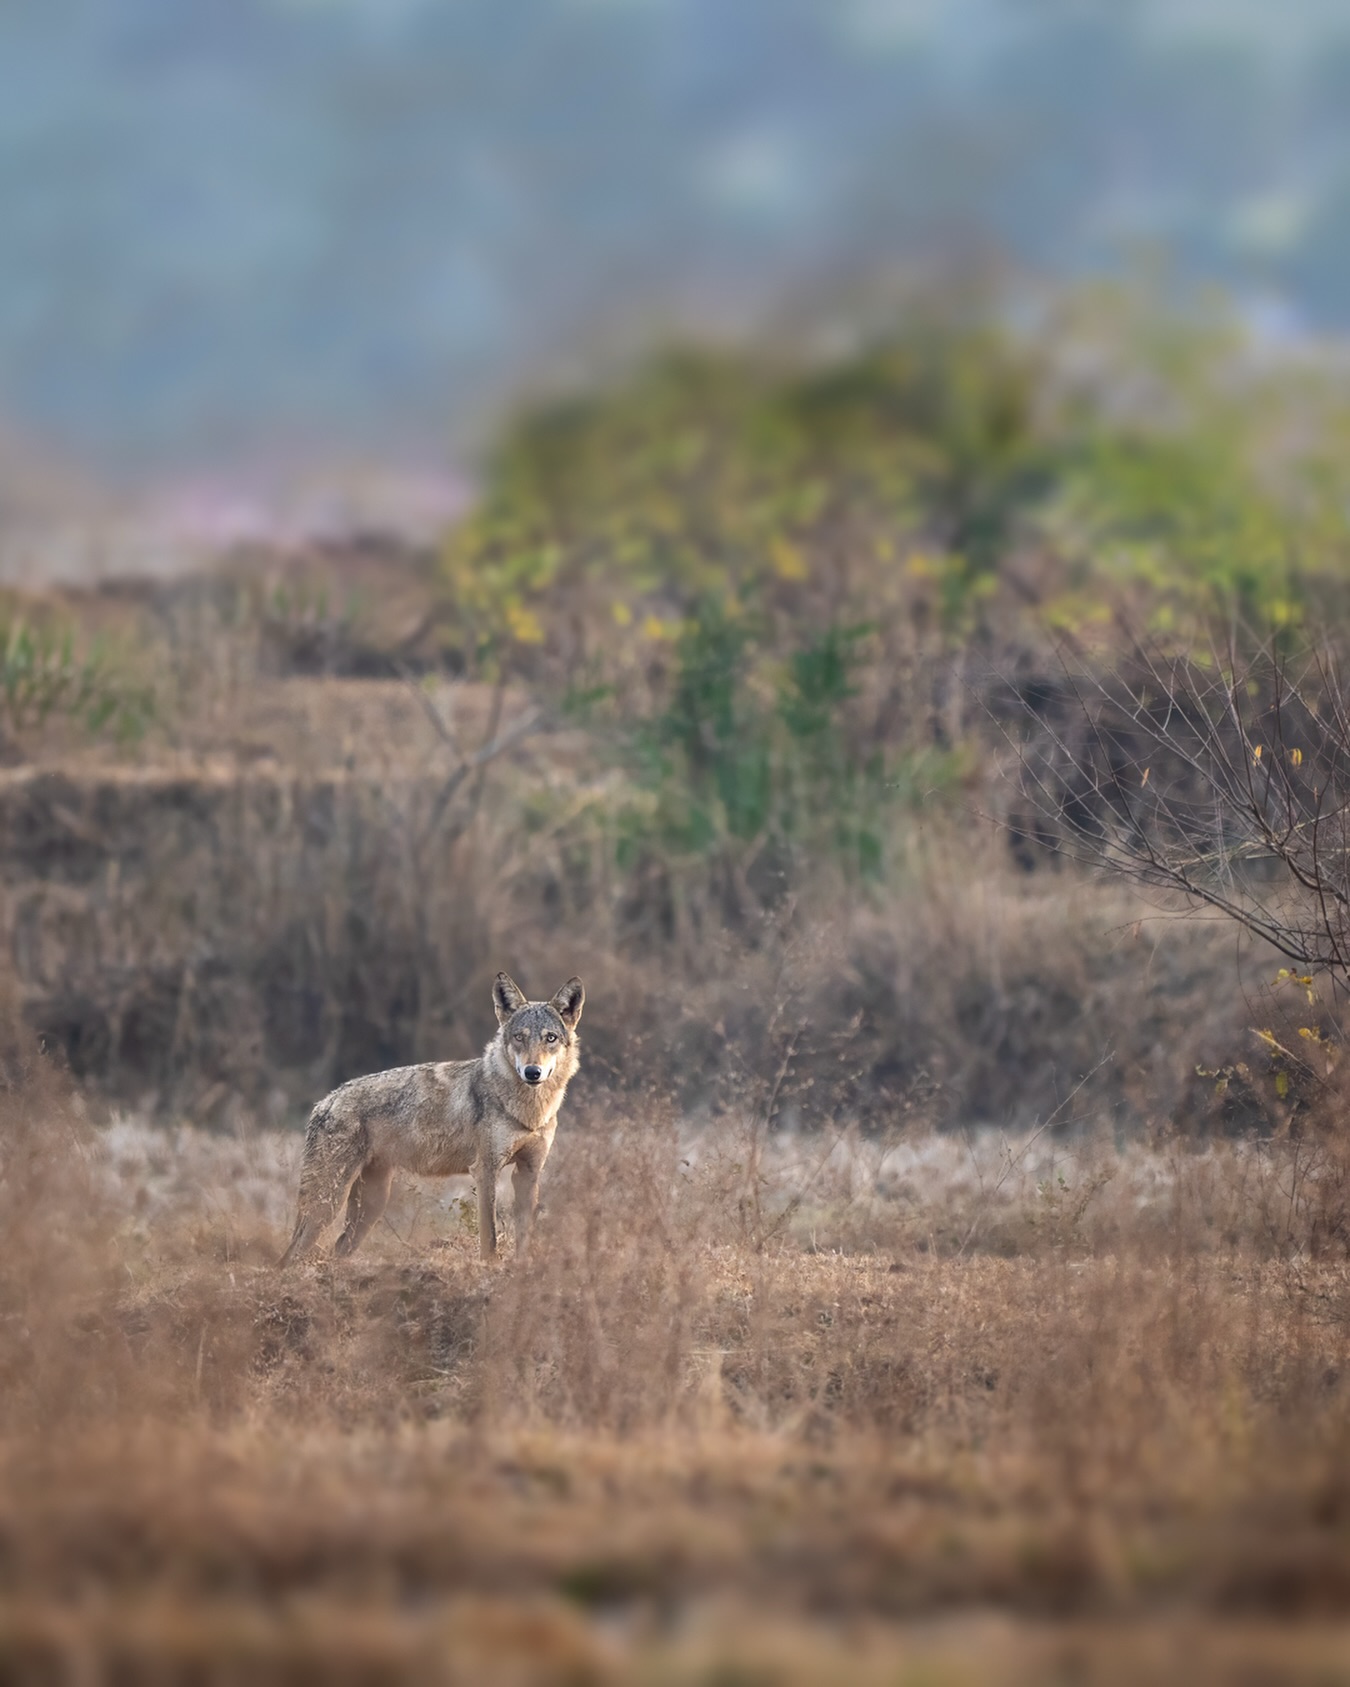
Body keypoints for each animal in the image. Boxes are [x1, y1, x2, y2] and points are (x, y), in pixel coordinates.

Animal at [279, 972, 584, 1265]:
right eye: (520, 1037)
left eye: (550, 1038)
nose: (533, 1072)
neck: (529, 1111)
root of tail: (324, 1102)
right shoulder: (485, 1170)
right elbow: (490, 1237)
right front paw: (490, 1267)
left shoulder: (528, 1172)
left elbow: (524, 1234)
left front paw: (521, 1269)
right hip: (328, 1203)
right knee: (291, 1255)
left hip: (371, 1204)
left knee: (337, 1249)